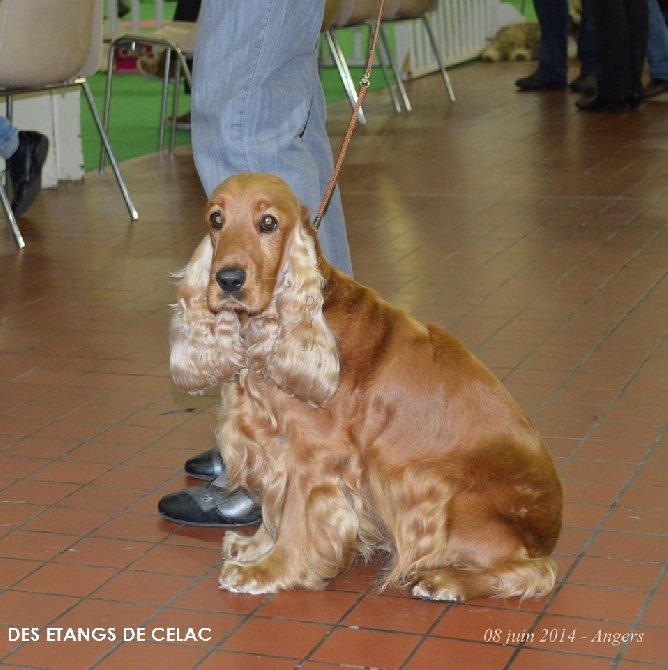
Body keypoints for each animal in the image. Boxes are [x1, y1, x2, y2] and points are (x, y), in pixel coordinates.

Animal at [170, 173, 560, 604]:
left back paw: (445, 581)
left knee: (536, 571)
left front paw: (270, 569)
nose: (228, 279)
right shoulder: (273, 450)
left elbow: (293, 518)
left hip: (443, 497)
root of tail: (548, 531)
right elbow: (274, 512)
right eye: (216, 219)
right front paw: (255, 546)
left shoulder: (312, 457)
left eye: (268, 223)